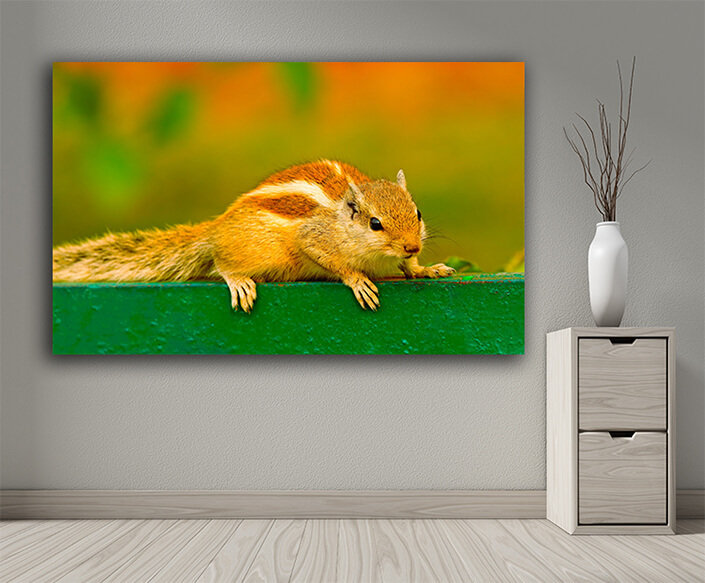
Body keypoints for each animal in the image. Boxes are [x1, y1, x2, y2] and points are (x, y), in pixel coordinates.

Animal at [53, 160, 456, 311]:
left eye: (418, 213)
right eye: (375, 224)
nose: (412, 245)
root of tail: (217, 227)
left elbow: (409, 268)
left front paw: (424, 268)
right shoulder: (315, 238)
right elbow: (333, 261)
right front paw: (358, 280)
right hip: (256, 251)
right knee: (222, 261)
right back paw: (239, 281)